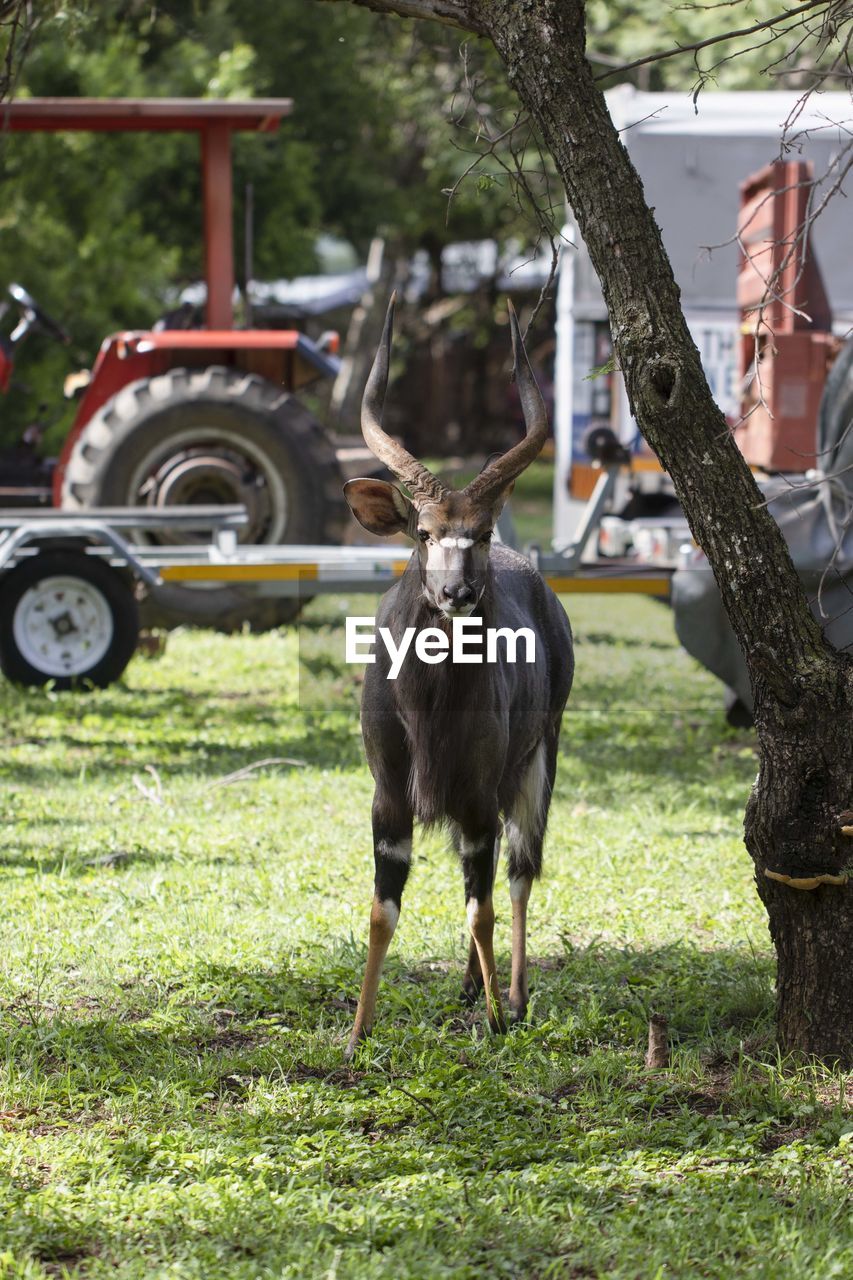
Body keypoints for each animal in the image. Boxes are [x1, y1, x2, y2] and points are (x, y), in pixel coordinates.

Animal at [338, 294, 571, 1054]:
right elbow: (382, 910)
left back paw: (514, 998)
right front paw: (357, 1033)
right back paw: (471, 987)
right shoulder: (389, 797)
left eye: (484, 530)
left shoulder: (474, 796)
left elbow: (484, 907)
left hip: (538, 761)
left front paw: (497, 1020)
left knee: (520, 873)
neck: (430, 709)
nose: (457, 593)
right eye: (422, 532)